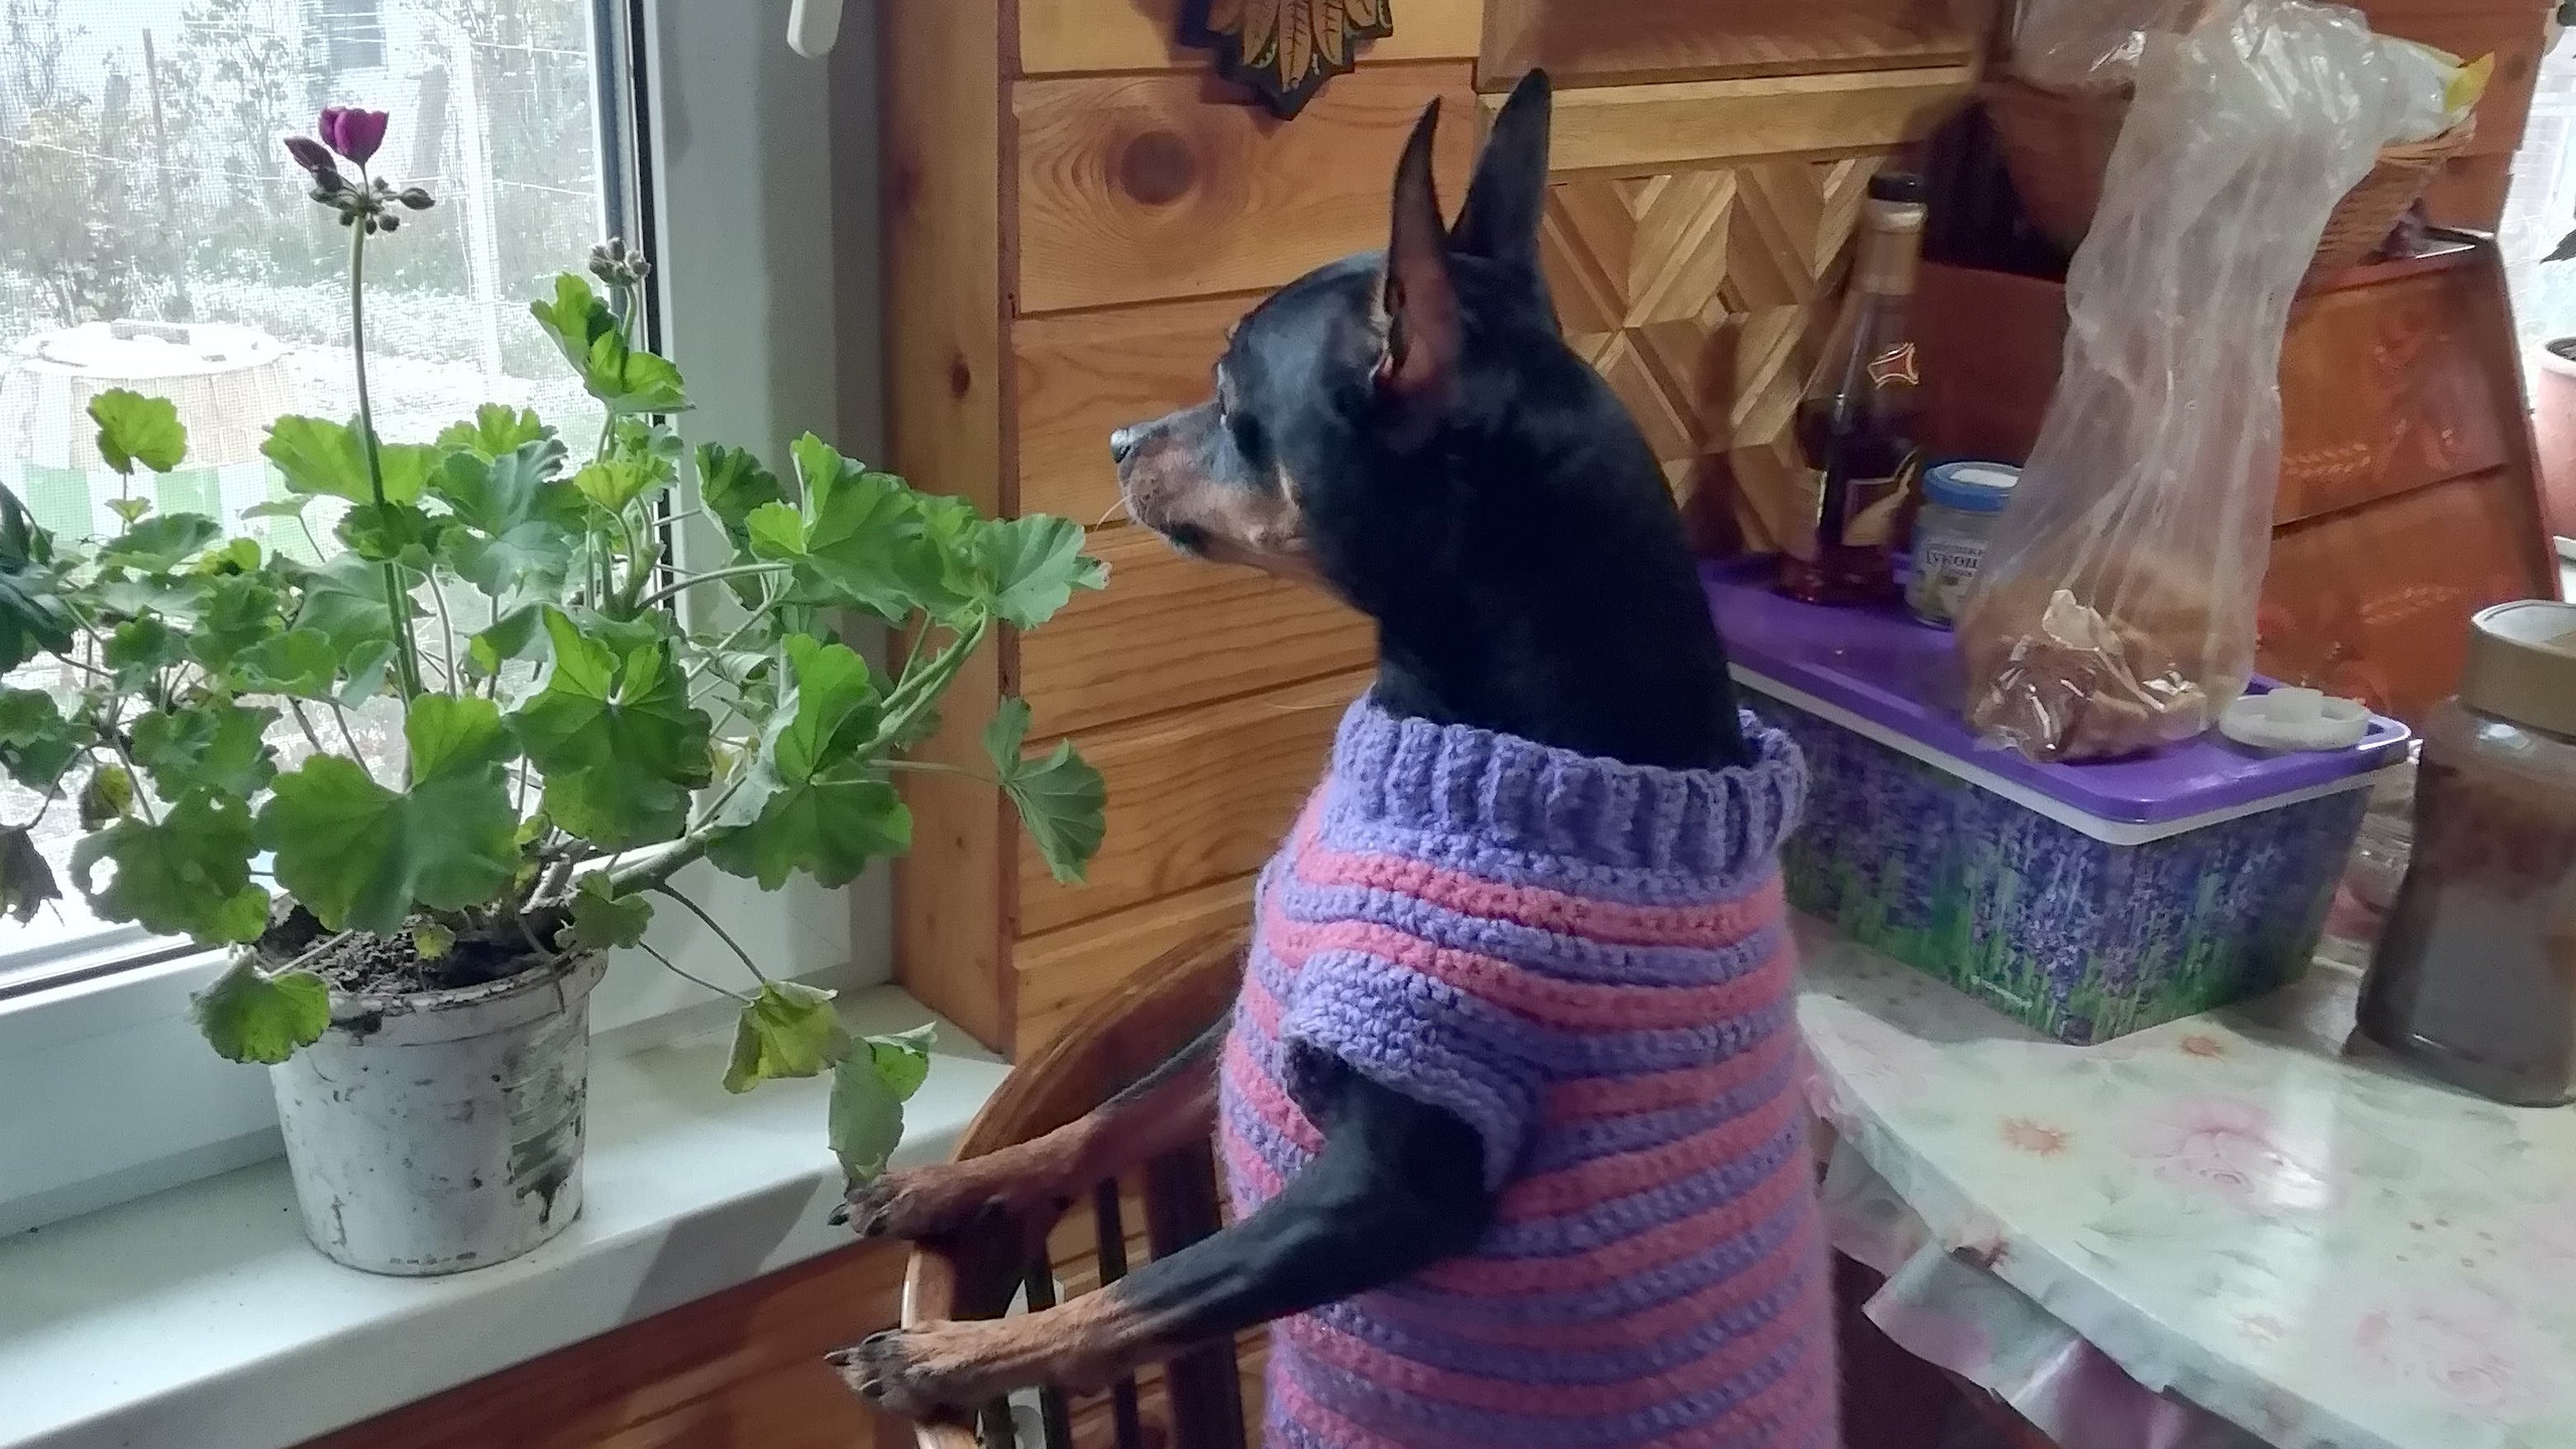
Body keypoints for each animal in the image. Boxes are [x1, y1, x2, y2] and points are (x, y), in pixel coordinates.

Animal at [831, 70, 1837, 1449]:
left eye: (1228, 395)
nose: (1118, 438)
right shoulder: (1260, 1008)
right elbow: (1105, 1116)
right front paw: (951, 1182)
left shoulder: (1385, 1186)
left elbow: (1147, 1290)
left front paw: (944, 1353)